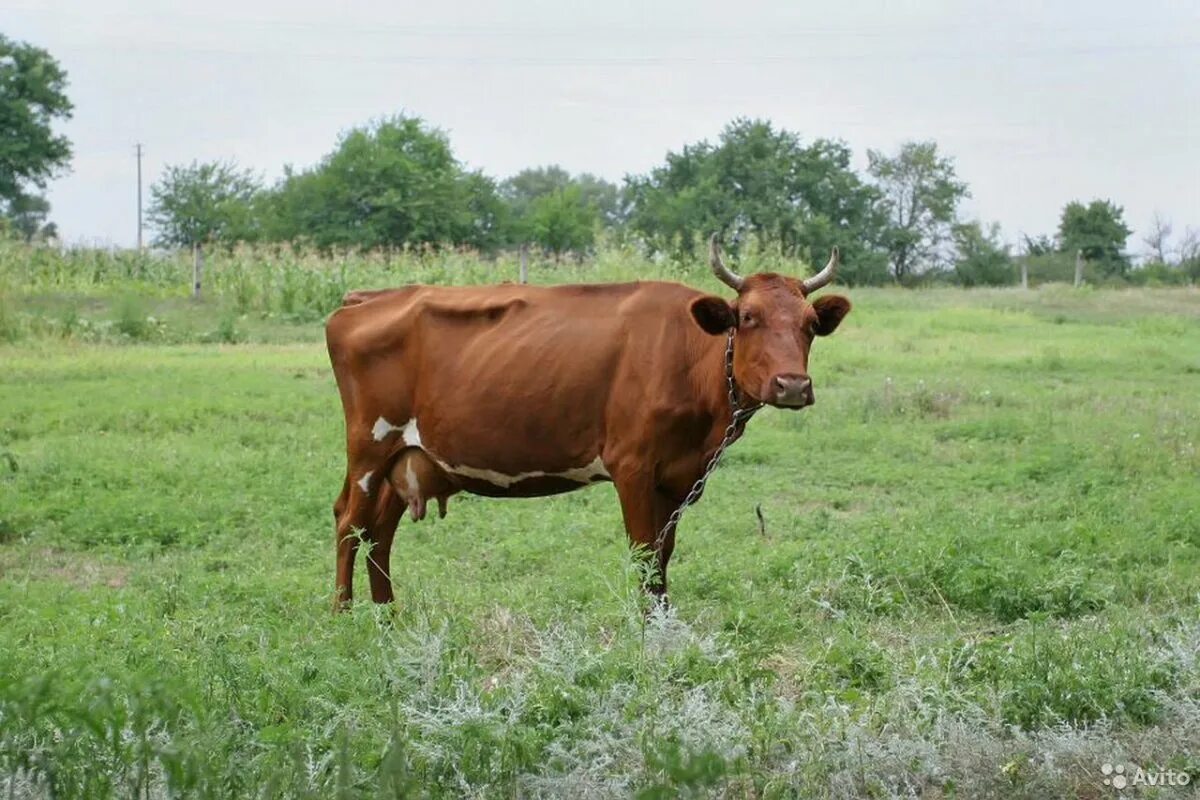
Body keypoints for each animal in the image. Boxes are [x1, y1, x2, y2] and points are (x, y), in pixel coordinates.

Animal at [326, 235, 854, 609]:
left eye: (810, 324)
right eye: (746, 317)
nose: (792, 385)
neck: (688, 358)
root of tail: (365, 298)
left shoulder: (680, 477)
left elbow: (664, 554)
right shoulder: (632, 466)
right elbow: (644, 555)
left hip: (404, 458)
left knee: (379, 533)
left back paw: (388, 616)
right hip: (370, 446)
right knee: (350, 522)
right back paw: (344, 615)